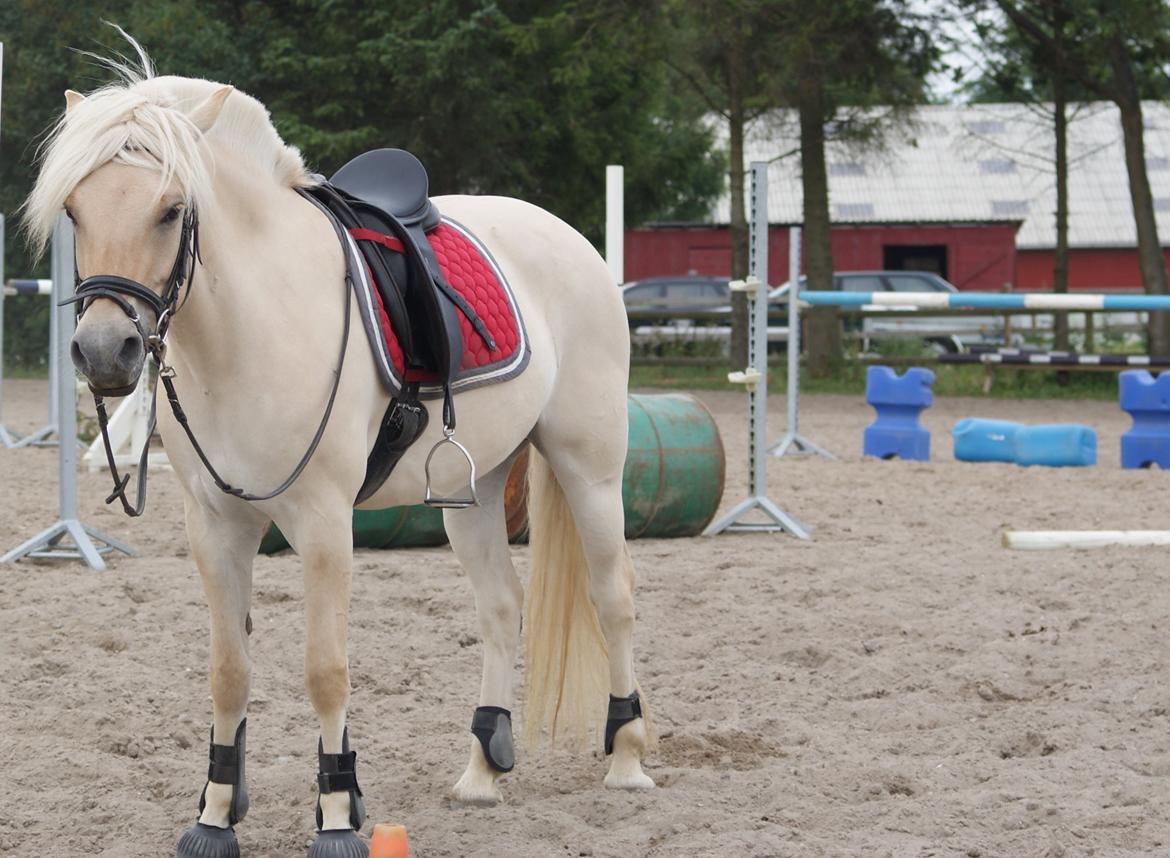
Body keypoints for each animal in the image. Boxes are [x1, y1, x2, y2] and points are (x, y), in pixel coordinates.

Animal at [27, 36, 655, 852]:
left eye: (172, 210)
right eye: (74, 210)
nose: (106, 352)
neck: (253, 323)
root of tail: (566, 237)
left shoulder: (325, 524)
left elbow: (326, 670)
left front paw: (335, 815)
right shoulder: (215, 527)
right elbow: (228, 671)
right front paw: (215, 816)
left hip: (590, 468)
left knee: (613, 597)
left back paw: (629, 758)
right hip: (474, 489)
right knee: (500, 608)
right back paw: (482, 770)